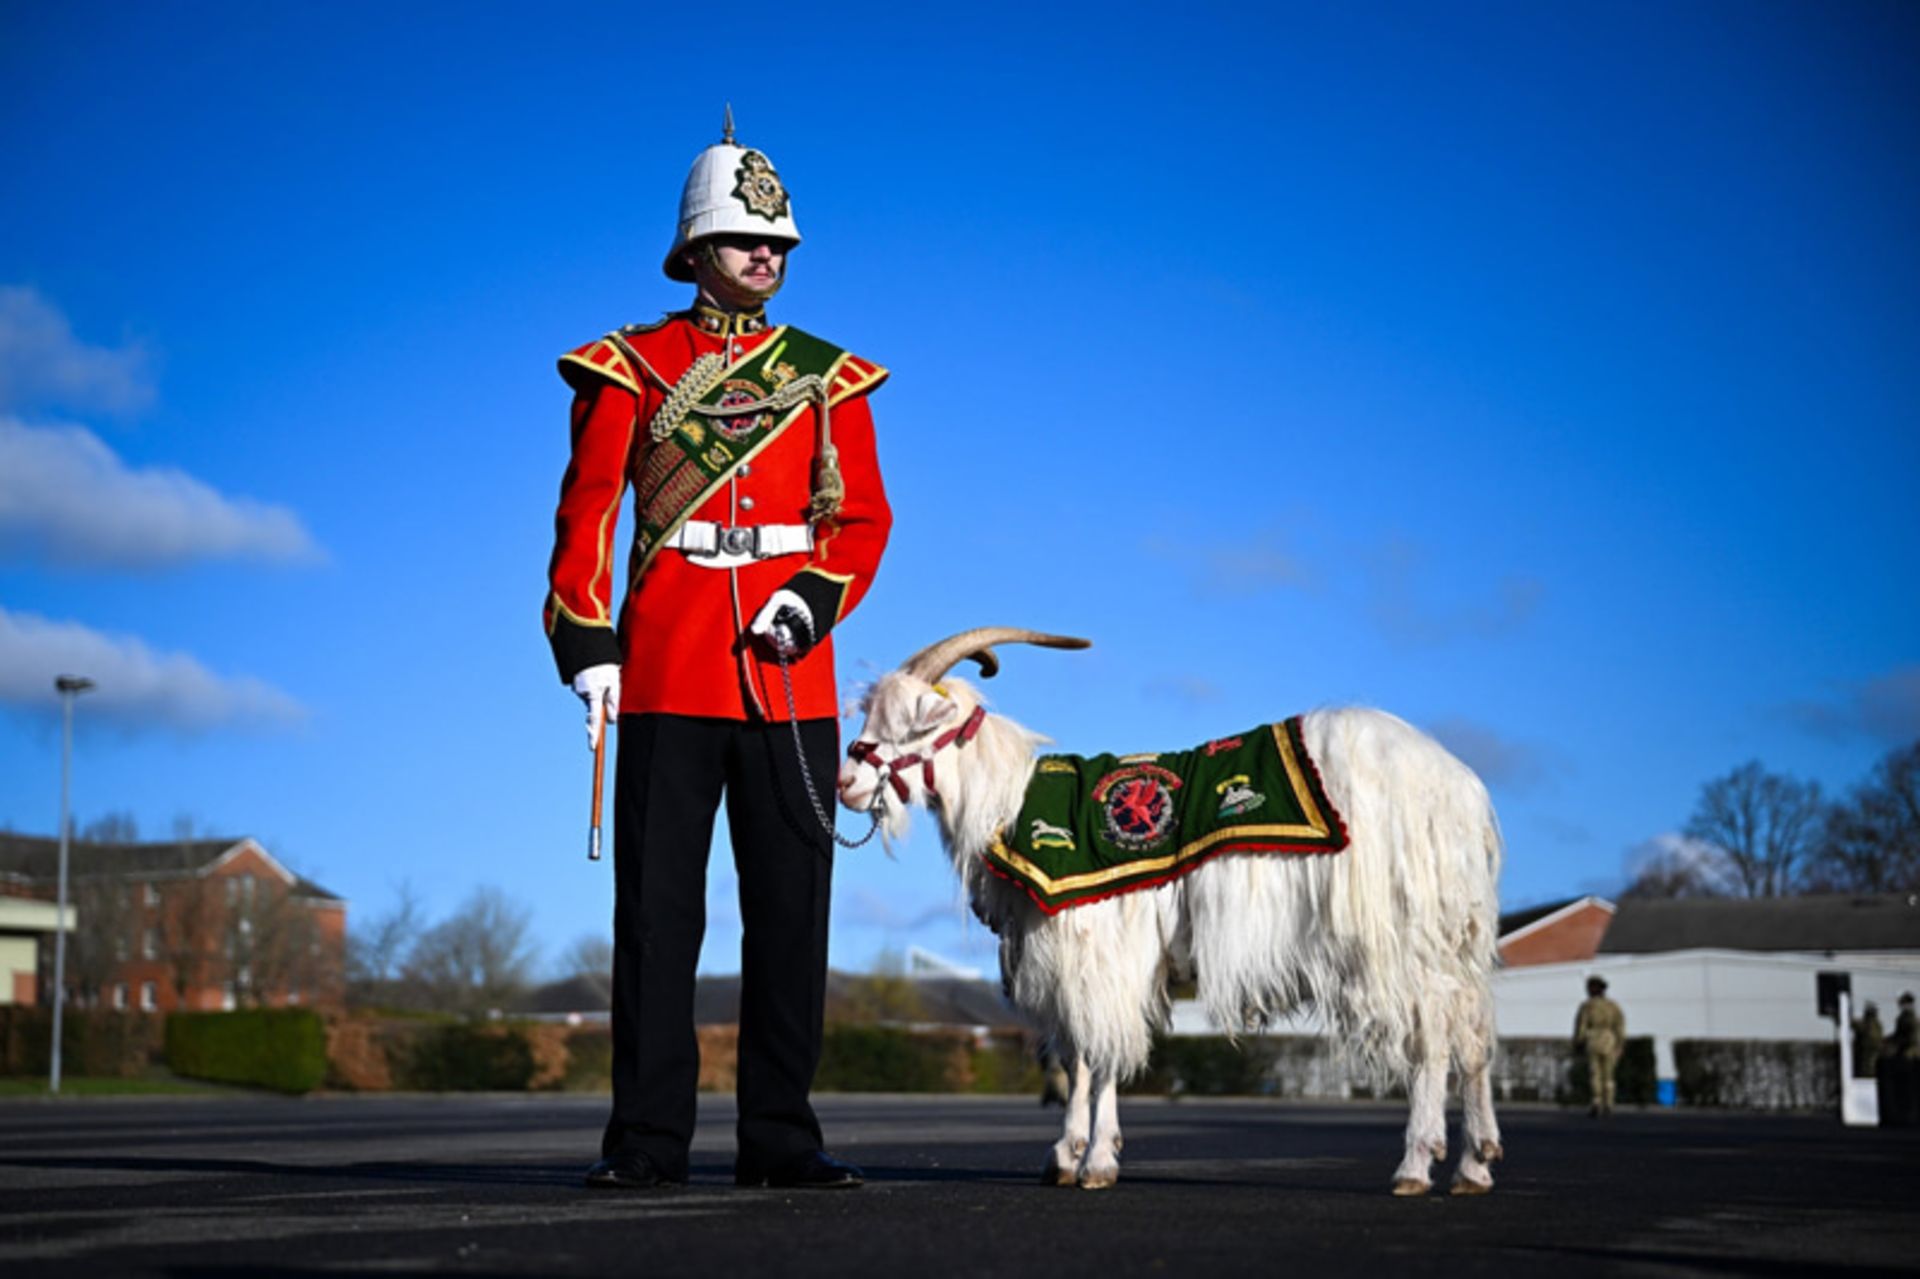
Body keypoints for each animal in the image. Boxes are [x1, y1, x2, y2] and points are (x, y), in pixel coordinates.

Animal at [833, 622, 1505, 1190]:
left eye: (908, 724)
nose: (846, 784)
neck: (1012, 802)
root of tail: (1461, 790)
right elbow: (1076, 1056)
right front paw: (1066, 1155)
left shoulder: (1103, 948)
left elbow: (1099, 1055)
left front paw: (1095, 1161)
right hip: (1454, 932)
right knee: (1471, 1032)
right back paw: (1474, 1165)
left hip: (1398, 931)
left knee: (1432, 1032)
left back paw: (1416, 1164)